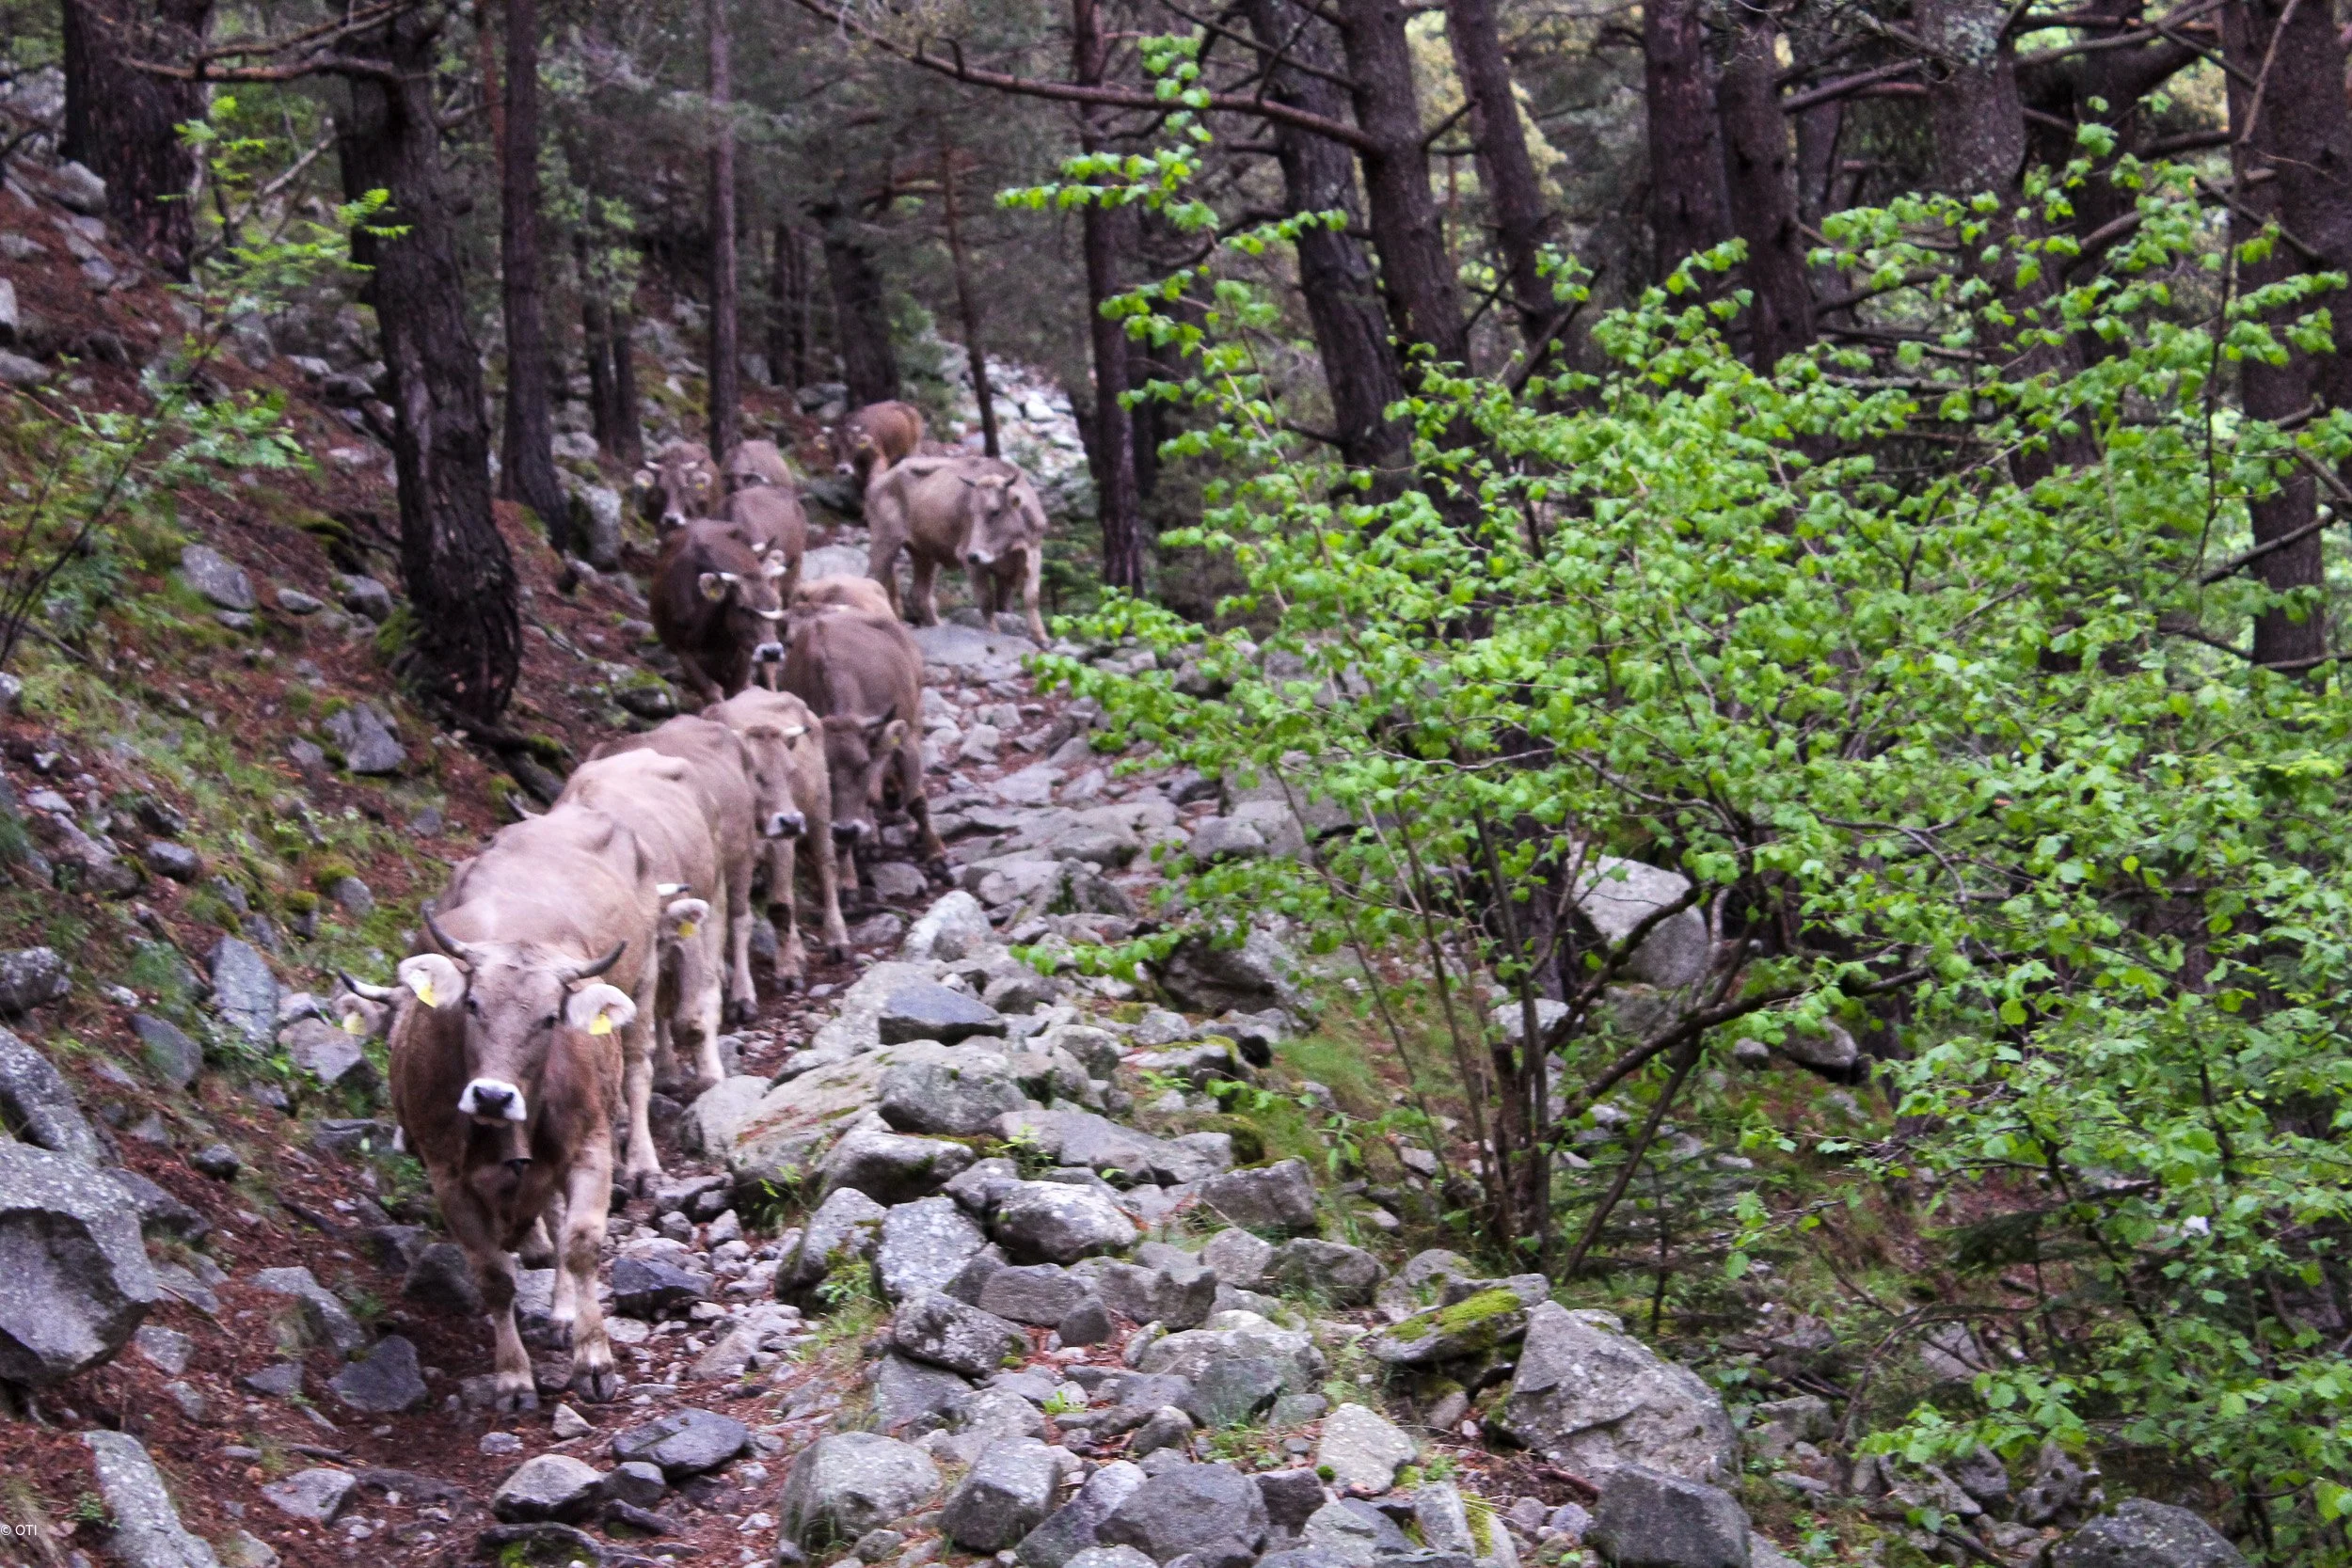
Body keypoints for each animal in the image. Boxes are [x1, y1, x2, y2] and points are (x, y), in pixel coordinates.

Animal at [336, 805, 658, 1411]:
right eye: (471, 1004)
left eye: (551, 1018)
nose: (491, 1095)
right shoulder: (449, 1178)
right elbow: (493, 1276)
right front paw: (512, 1377)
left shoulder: (590, 1146)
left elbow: (581, 1244)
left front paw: (594, 1359)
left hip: (646, 991)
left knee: (639, 1069)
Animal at [651, 519, 790, 705]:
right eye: (742, 607)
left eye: (775, 604)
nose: (772, 652)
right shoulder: (681, 648)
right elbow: (711, 692)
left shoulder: (743, 649)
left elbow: (739, 689)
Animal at [708, 687, 848, 986]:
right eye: (754, 774)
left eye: (791, 772)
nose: (791, 821)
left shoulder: (780, 844)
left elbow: (780, 907)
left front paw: (787, 972)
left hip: (819, 809)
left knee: (826, 866)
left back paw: (837, 940)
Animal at [780, 607, 947, 894]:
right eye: (825, 773)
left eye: (864, 764)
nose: (847, 830)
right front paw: (847, 882)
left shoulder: (906, 734)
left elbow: (916, 800)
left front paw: (936, 855)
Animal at [865, 454, 1051, 644]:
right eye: (971, 512)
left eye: (995, 511)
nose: (974, 555)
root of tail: (880, 480)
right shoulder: (969, 559)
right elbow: (986, 600)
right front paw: (994, 634)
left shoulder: (1033, 552)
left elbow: (1031, 596)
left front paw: (1041, 638)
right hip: (885, 541)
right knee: (873, 579)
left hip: (925, 555)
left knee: (920, 594)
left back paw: (937, 625)